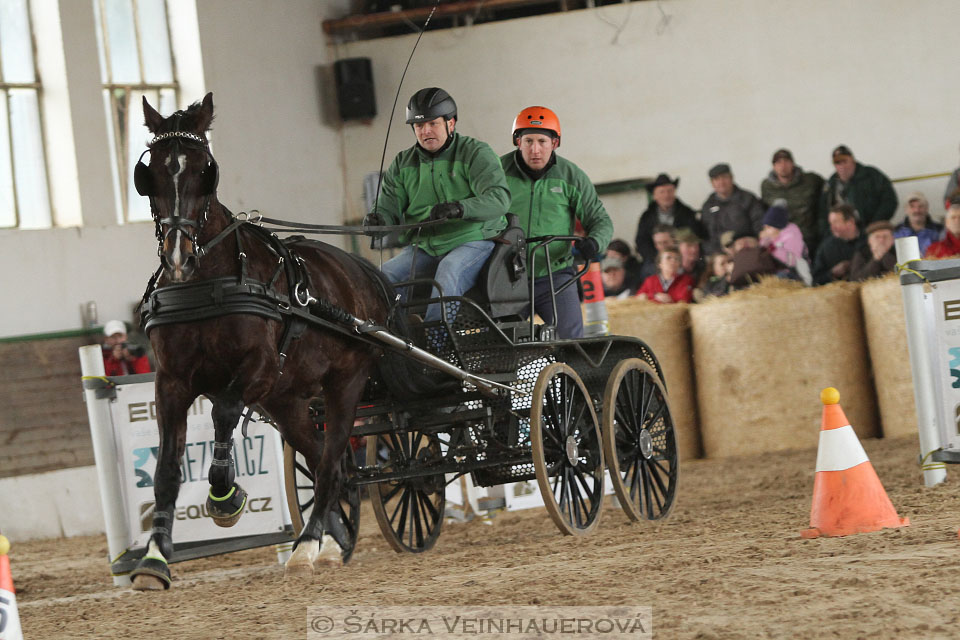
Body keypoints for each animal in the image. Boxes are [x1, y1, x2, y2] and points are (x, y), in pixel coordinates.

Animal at [129, 92, 388, 588]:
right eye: (150, 173)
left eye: (204, 169)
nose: (178, 256)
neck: (207, 283)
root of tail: (364, 273)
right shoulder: (170, 381)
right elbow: (167, 469)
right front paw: (153, 558)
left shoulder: (261, 368)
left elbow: (226, 414)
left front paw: (224, 495)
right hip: (288, 404)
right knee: (330, 463)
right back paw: (333, 540)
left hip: (344, 385)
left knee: (331, 464)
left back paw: (307, 545)